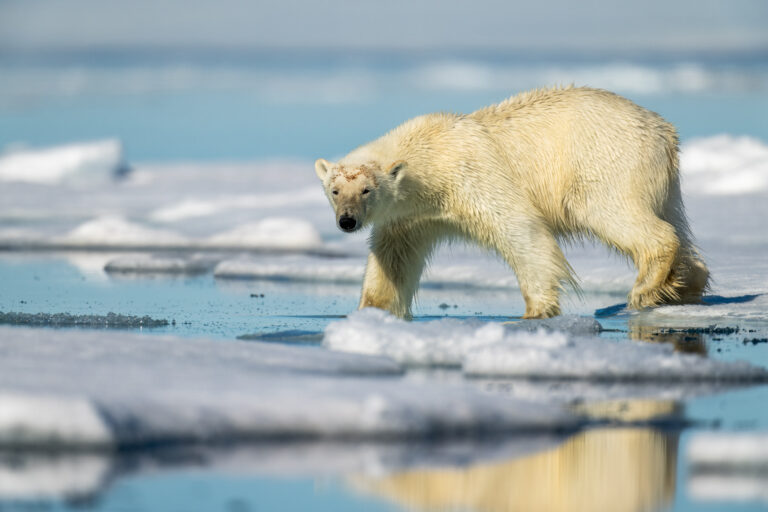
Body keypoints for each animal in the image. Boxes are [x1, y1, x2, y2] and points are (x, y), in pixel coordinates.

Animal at [316, 86, 712, 318]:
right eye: (335, 190)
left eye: (366, 190)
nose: (347, 221)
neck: (431, 157)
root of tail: (664, 132)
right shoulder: (413, 216)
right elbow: (393, 259)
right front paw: (372, 312)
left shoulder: (471, 176)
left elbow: (520, 230)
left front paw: (537, 310)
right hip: (662, 181)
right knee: (676, 223)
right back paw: (683, 285)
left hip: (605, 163)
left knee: (618, 215)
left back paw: (644, 290)